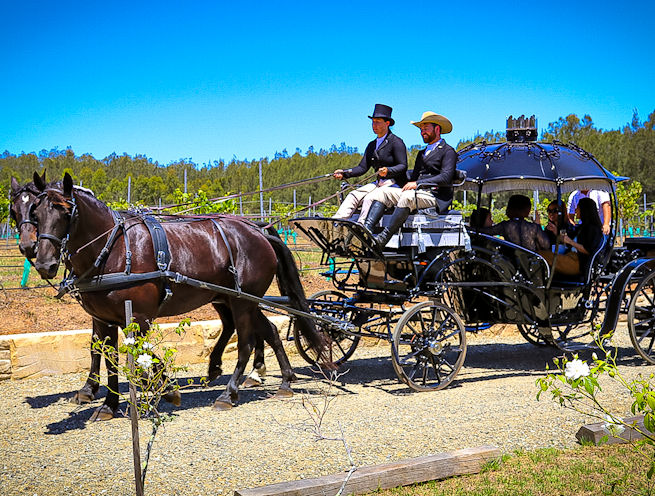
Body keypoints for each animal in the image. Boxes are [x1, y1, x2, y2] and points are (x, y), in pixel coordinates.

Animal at [30, 171, 328, 418]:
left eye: (66, 213)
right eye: (36, 214)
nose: (44, 264)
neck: (114, 249)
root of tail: (259, 232)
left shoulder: (139, 317)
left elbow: (143, 356)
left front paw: (165, 390)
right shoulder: (104, 319)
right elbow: (109, 359)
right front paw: (108, 405)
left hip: (243, 301)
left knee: (246, 342)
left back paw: (229, 393)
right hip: (234, 299)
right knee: (268, 331)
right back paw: (284, 380)